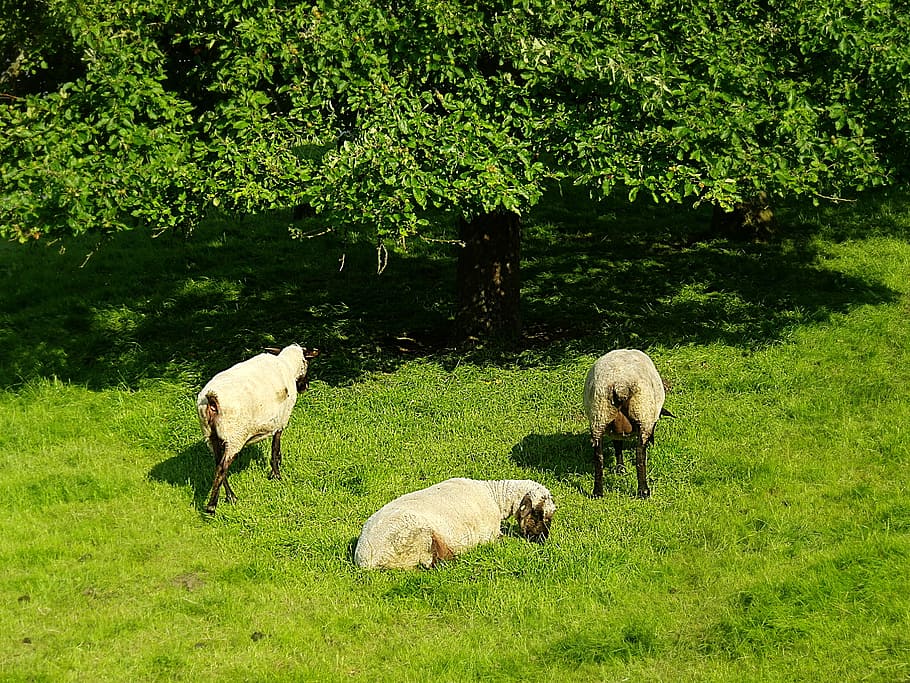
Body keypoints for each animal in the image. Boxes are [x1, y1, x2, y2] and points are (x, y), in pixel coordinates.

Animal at [196, 344, 317, 514]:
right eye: (307, 361)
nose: (305, 387)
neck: (287, 364)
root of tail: (211, 399)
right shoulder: (281, 421)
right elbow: (275, 448)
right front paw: (276, 475)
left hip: (210, 436)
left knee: (218, 465)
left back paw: (230, 497)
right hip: (234, 437)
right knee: (221, 468)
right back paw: (213, 506)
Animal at [354, 477, 556, 570]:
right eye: (537, 513)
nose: (542, 539)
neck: (496, 497)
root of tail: (365, 561)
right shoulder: (490, 536)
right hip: (418, 540)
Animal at [582, 349, 674, 499]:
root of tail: (620, 385)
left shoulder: (615, 431)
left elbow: (617, 445)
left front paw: (620, 469)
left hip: (599, 416)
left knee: (598, 456)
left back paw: (598, 492)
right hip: (642, 412)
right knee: (640, 454)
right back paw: (644, 491)